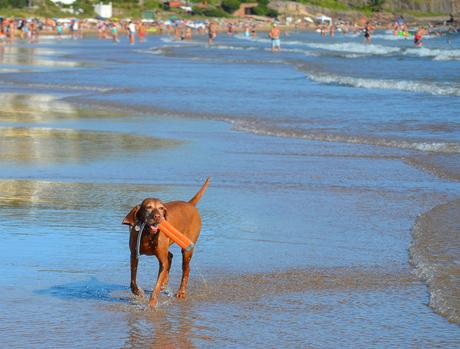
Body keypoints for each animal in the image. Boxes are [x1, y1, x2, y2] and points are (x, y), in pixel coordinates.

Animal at [121, 178, 209, 306]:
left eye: (161, 208)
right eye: (148, 207)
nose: (158, 217)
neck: (148, 234)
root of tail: (190, 204)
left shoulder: (162, 261)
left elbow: (157, 285)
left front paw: (151, 304)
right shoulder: (133, 255)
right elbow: (133, 280)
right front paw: (138, 292)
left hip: (187, 249)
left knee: (186, 268)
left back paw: (181, 292)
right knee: (170, 256)